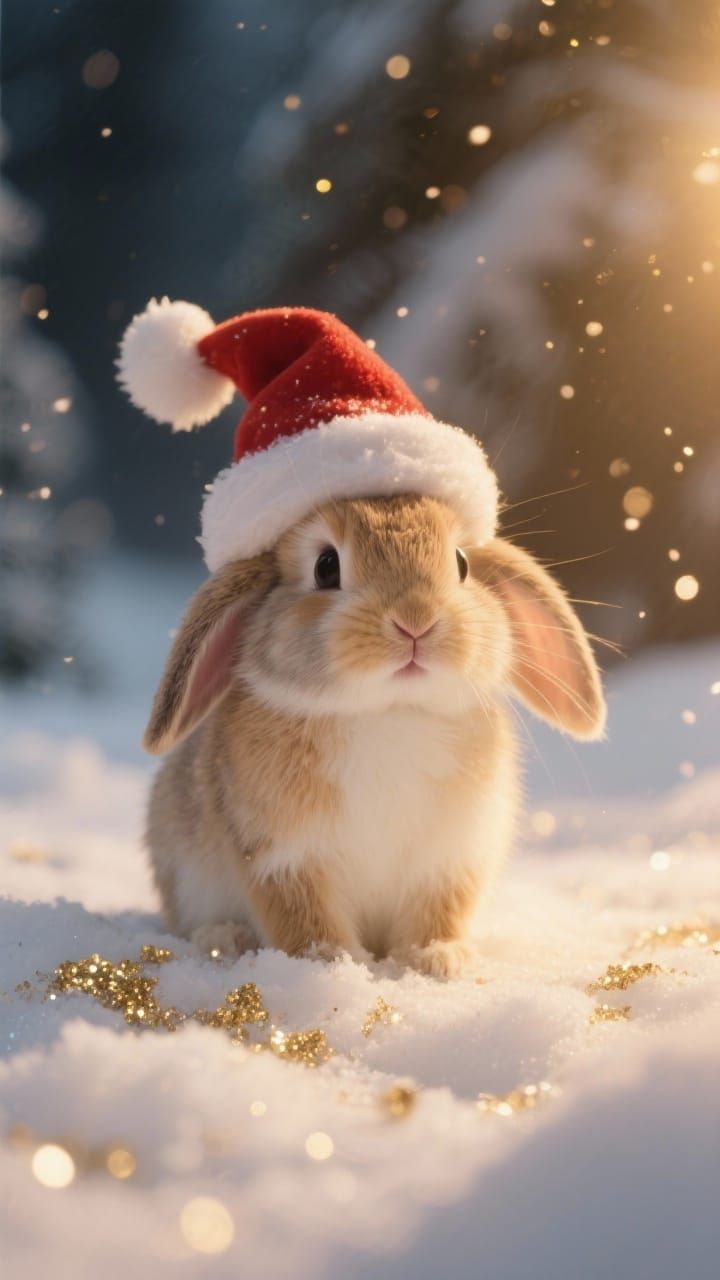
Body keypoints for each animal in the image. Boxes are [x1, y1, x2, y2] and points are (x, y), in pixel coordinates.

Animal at [144, 492, 605, 979]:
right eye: (326, 566)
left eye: (461, 563)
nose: (416, 619)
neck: (389, 710)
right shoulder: (282, 858)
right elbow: (302, 917)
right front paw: (334, 961)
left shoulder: (448, 859)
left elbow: (438, 911)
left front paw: (437, 959)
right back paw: (224, 939)